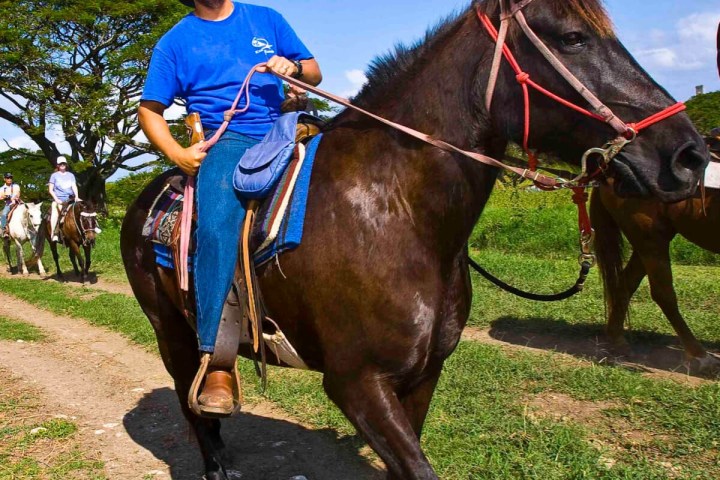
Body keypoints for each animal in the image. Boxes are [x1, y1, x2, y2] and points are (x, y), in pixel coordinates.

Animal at [592, 135, 720, 375]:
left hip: (647, 240)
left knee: (625, 283)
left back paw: (618, 341)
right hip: (650, 238)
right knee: (663, 294)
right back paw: (700, 356)